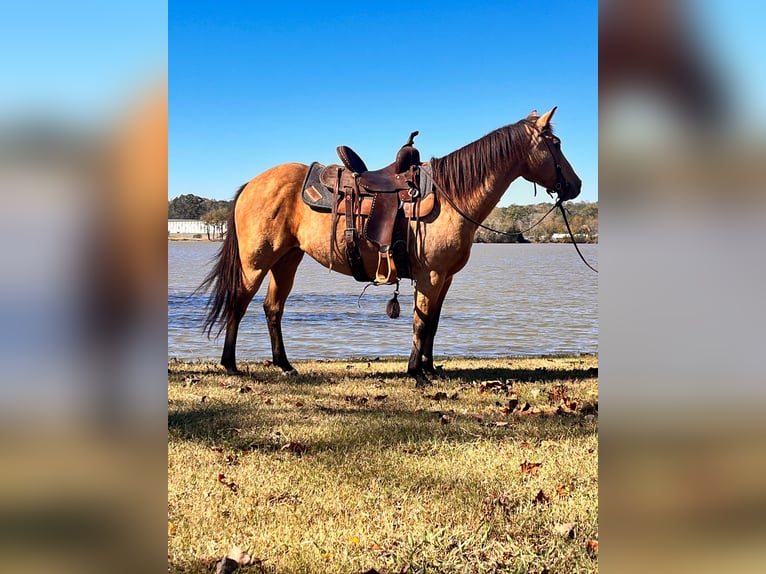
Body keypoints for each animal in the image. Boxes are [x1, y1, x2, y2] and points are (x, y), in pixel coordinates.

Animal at [198, 108, 584, 388]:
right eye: (556, 142)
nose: (577, 185)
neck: (452, 197)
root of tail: (252, 184)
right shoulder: (431, 275)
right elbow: (420, 322)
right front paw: (416, 373)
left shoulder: (444, 279)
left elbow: (432, 323)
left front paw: (429, 368)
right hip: (256, 262)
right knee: (238, 303)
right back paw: (230, 365)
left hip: (287, 260)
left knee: (272, 308)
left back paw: (284, 365)